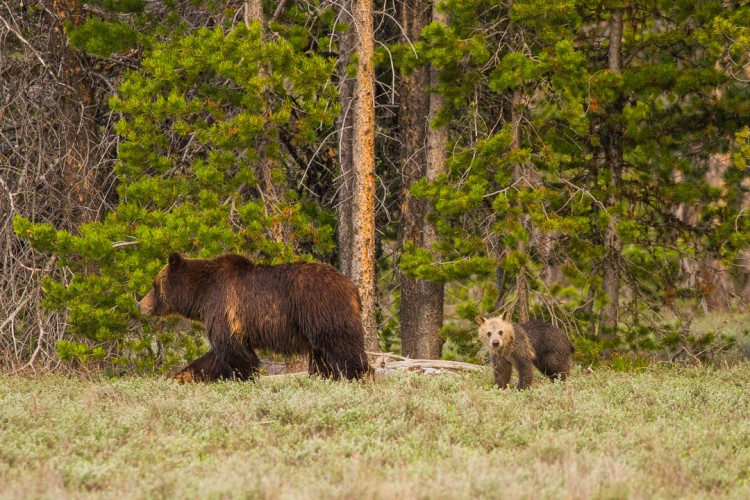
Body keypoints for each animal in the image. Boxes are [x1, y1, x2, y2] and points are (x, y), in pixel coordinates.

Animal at [137, 254, 370, 382]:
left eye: (154, 285)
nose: (140, 304)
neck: (201, 294)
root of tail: (352, 287)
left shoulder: (224, 307)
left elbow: (233, 351)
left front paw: (246, 377)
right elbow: (215, 357)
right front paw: (183, 376)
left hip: (323, 310)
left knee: (343, 346)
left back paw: (357, 375)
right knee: (323, 357)